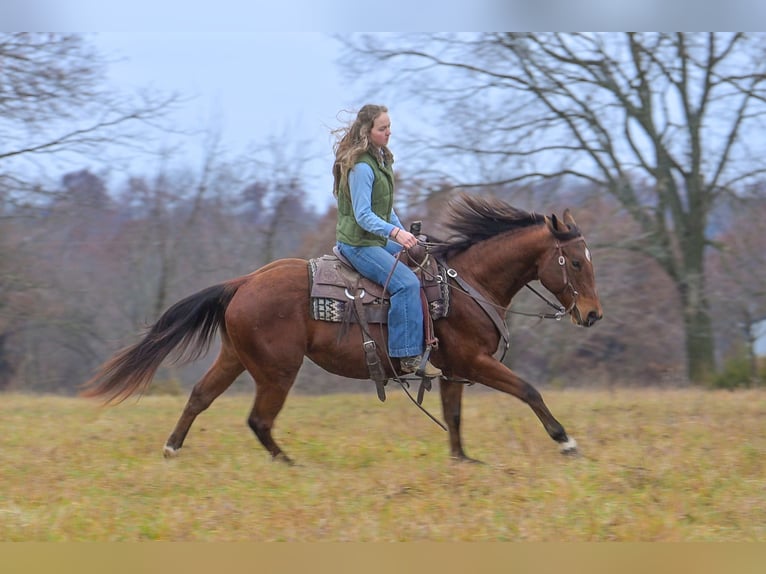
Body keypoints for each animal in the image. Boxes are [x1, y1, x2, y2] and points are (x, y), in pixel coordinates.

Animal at [81, 193, 603, 464]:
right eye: (576, 262)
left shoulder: (455, 369)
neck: (465, 285)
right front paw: (566, 441)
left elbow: (453, 415)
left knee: (200, 397)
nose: (593, 315)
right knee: (258, 419)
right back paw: (287, 462)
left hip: (235, 357)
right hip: (277, 370)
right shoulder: (475, 362)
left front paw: (461, 460)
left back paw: (173, 449)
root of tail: (243, 282)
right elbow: (528, 390)